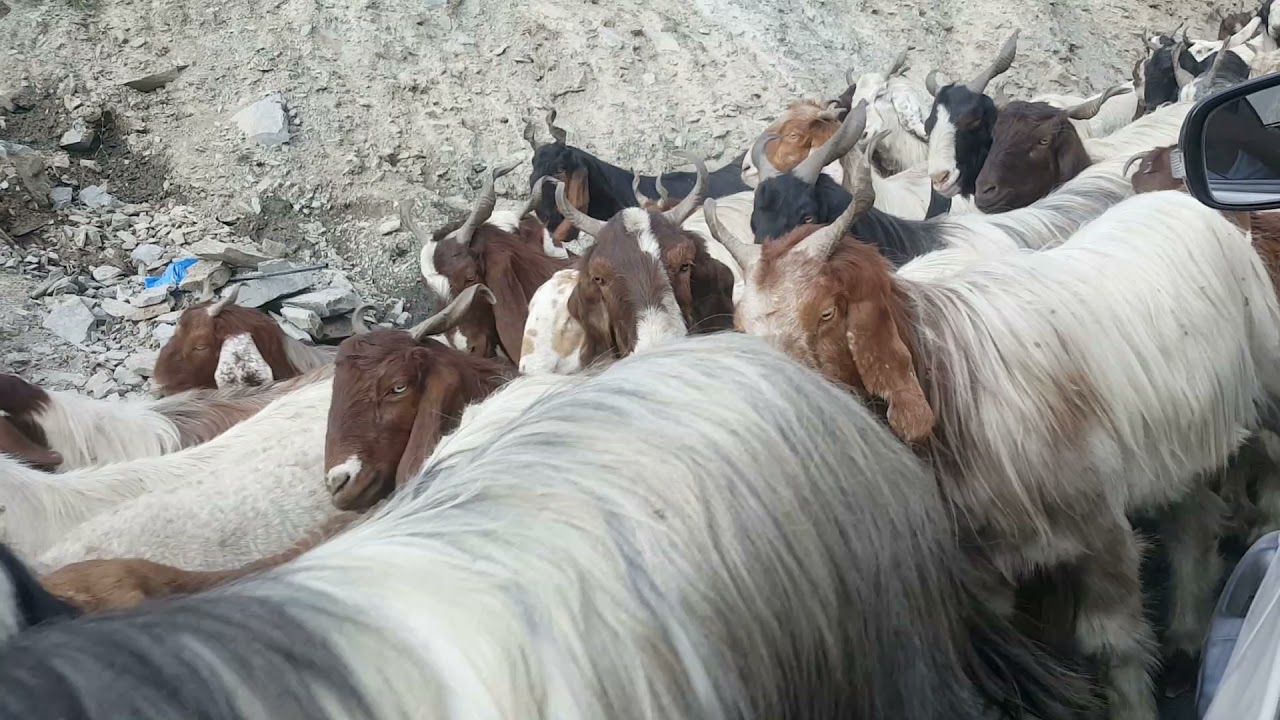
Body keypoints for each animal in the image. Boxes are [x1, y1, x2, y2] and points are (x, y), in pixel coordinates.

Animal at [716, 158, 1280, 719]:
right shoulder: (984, 570)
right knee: (1192, 521)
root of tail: (1182, 201)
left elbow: (1112, 645)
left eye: (827, 313)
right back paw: (1187, 636)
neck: (948, 383)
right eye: (741, 326)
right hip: (1178, 443)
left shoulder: (1102, 529)